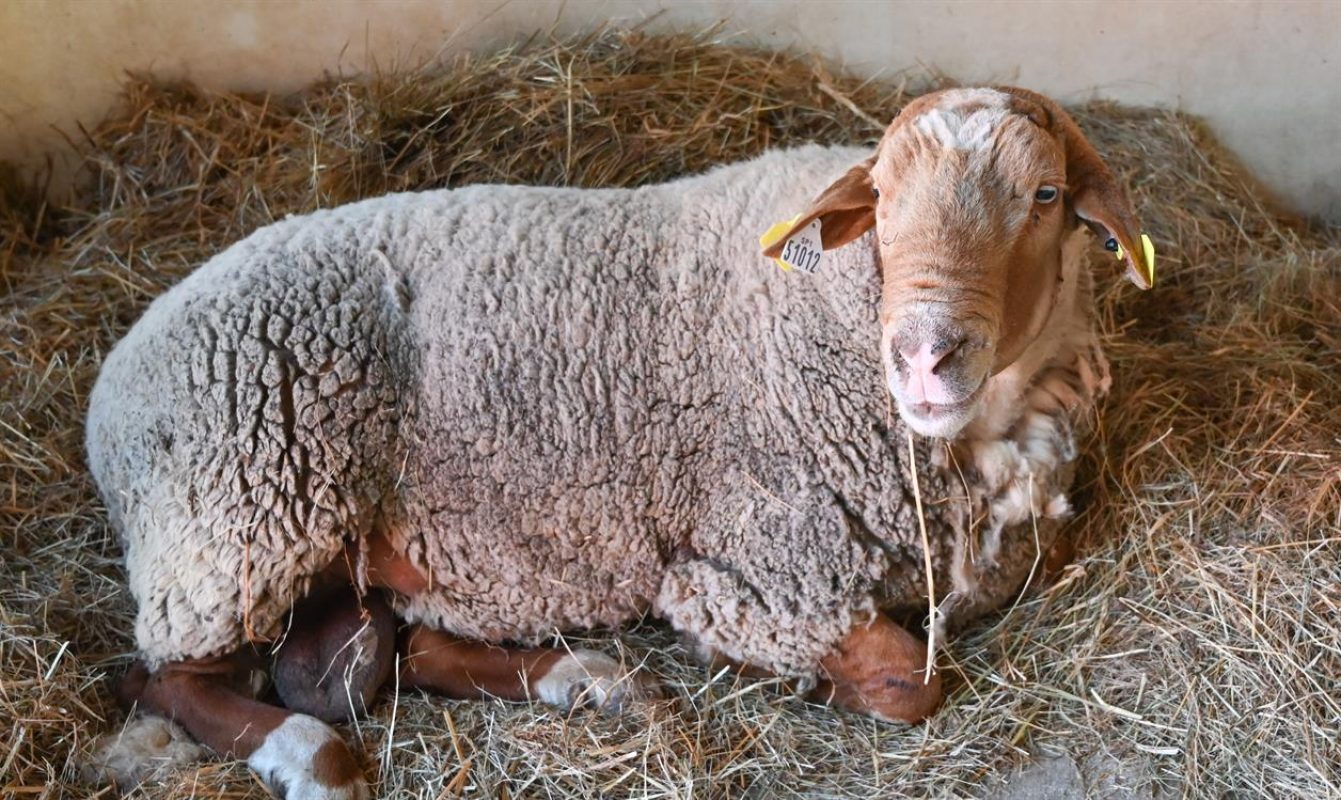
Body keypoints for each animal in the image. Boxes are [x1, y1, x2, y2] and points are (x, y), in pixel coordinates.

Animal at [84, 86, 1152, 798]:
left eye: (1046, 196)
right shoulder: (758, 569)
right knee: (157, 676)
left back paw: (584, 681)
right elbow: (908, 680)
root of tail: (113, 380)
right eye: (881, 198)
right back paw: (311, 759)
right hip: (239, 518)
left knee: (388, 654)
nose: (925, 356)